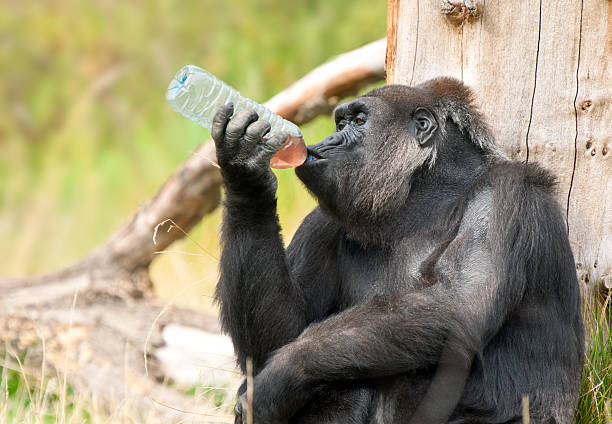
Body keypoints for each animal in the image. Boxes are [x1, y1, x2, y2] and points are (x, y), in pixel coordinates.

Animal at [213, 78, 584, 422]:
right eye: (340, 124)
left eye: (358, 121)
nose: (328, 141)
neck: (427, 193)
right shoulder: (322, 222)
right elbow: (279, 336)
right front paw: (245, 173)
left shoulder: (506, 192)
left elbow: (458, 303)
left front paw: (284, 373)